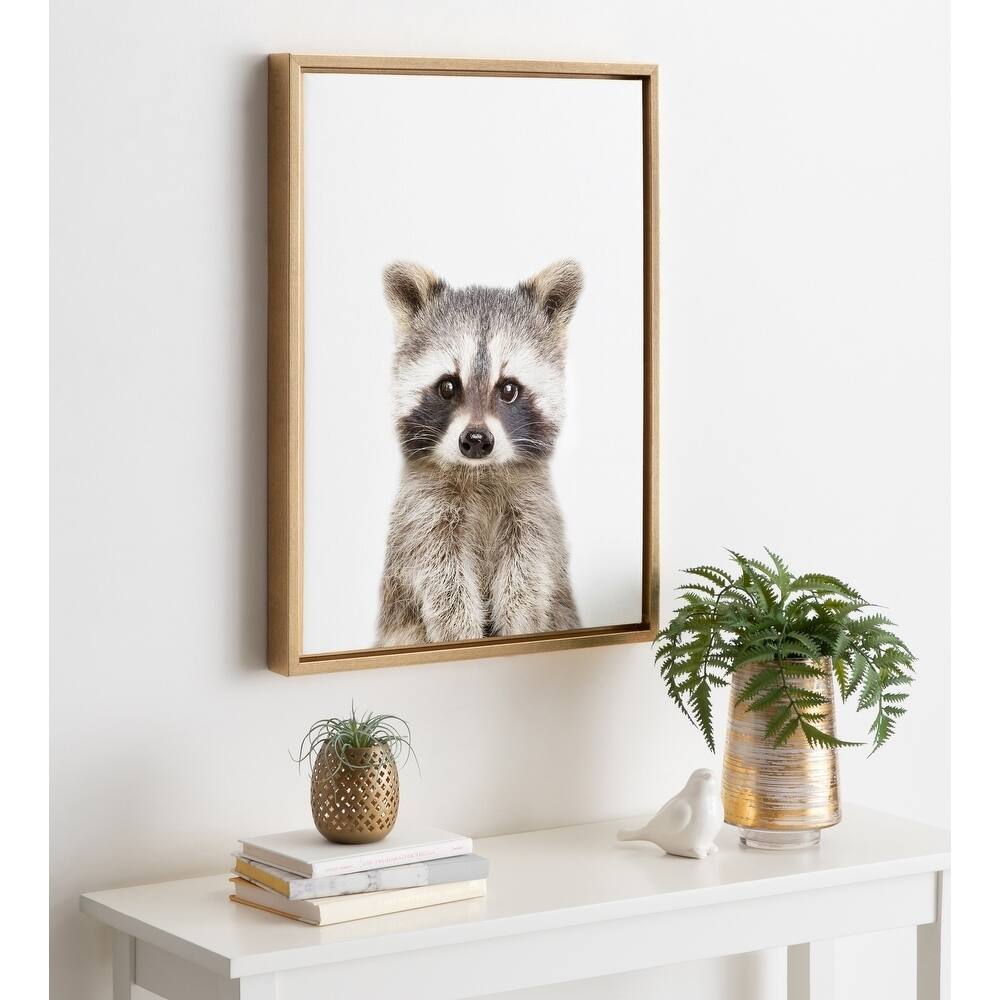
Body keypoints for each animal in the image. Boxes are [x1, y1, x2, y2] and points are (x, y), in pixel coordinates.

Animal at [375, 260, 583, 647]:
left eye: (509, 389)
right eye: (447, 386)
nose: (475, 440)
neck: (480, 471)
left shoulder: (534, 506)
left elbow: (529, 571)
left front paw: (519, 625)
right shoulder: (422, 510)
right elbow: (441, 575)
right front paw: (459, 633)